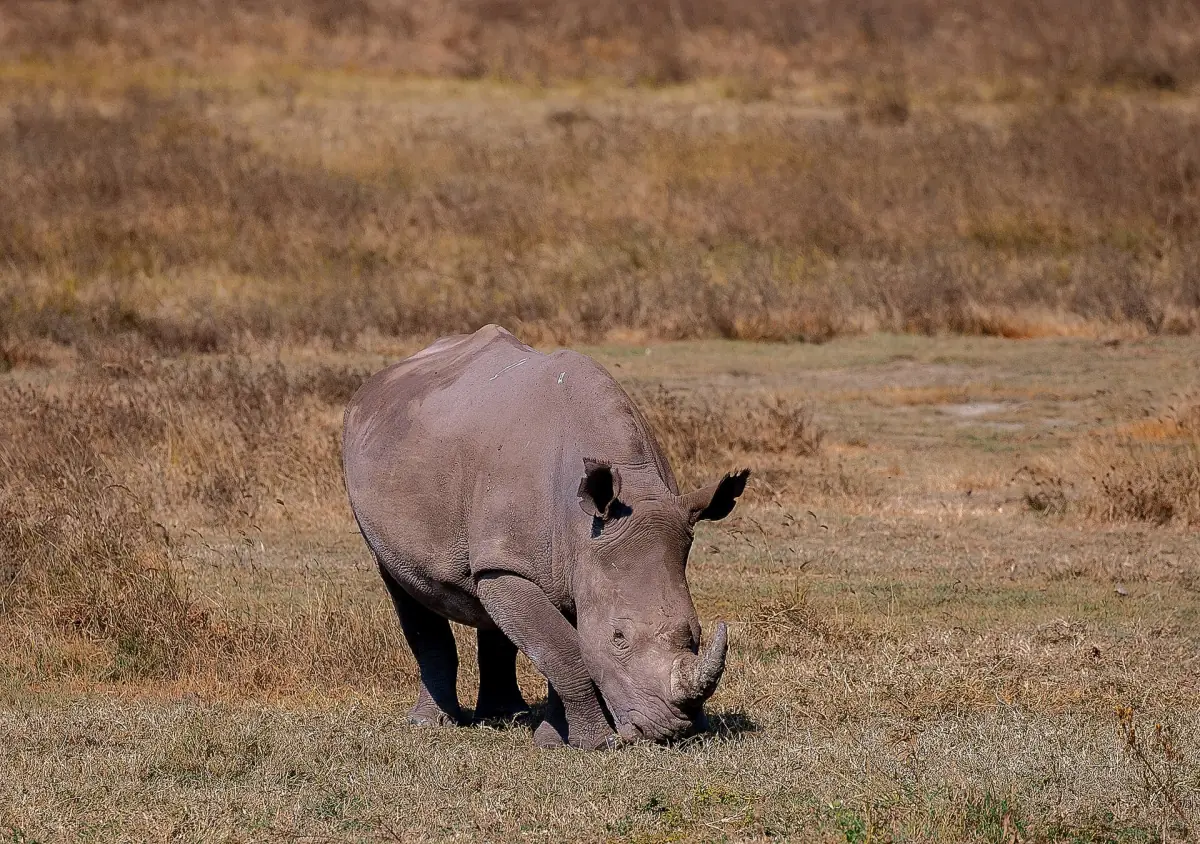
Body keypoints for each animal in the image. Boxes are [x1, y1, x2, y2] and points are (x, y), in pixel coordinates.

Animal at [342, 325, 748, 749]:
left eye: (696, 633)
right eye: (618, 637)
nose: (673, 730)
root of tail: (377, 383)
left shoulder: (579, 555)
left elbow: (561, 646)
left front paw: (553, 741)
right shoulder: (518, 563)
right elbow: (566, 651)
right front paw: (596, 744)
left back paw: (505, 715)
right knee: (405, 586)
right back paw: (431, 723)